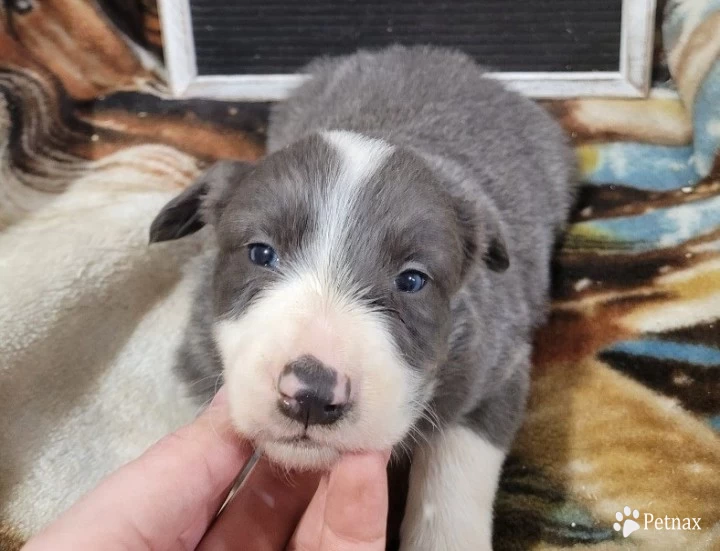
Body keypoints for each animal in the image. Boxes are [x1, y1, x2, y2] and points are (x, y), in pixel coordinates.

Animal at [150, 46, 572, 551]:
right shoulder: (197, 356)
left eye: (412, 280)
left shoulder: (494, 370)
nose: (312, 394)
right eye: (260, 253)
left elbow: (453, 478)